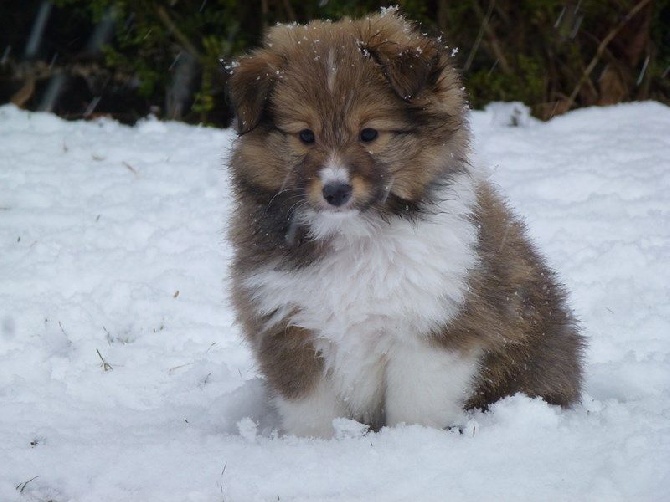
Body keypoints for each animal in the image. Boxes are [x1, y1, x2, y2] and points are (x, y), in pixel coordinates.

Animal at [226, 9, 584, 438]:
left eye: (369, 133)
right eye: (305, 136)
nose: (335, 191)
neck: (354, 236)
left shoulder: (430, 332)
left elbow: (416, 407)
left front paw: (410, 445)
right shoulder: (290, 329)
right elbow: (314, 413)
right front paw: (316, 448)